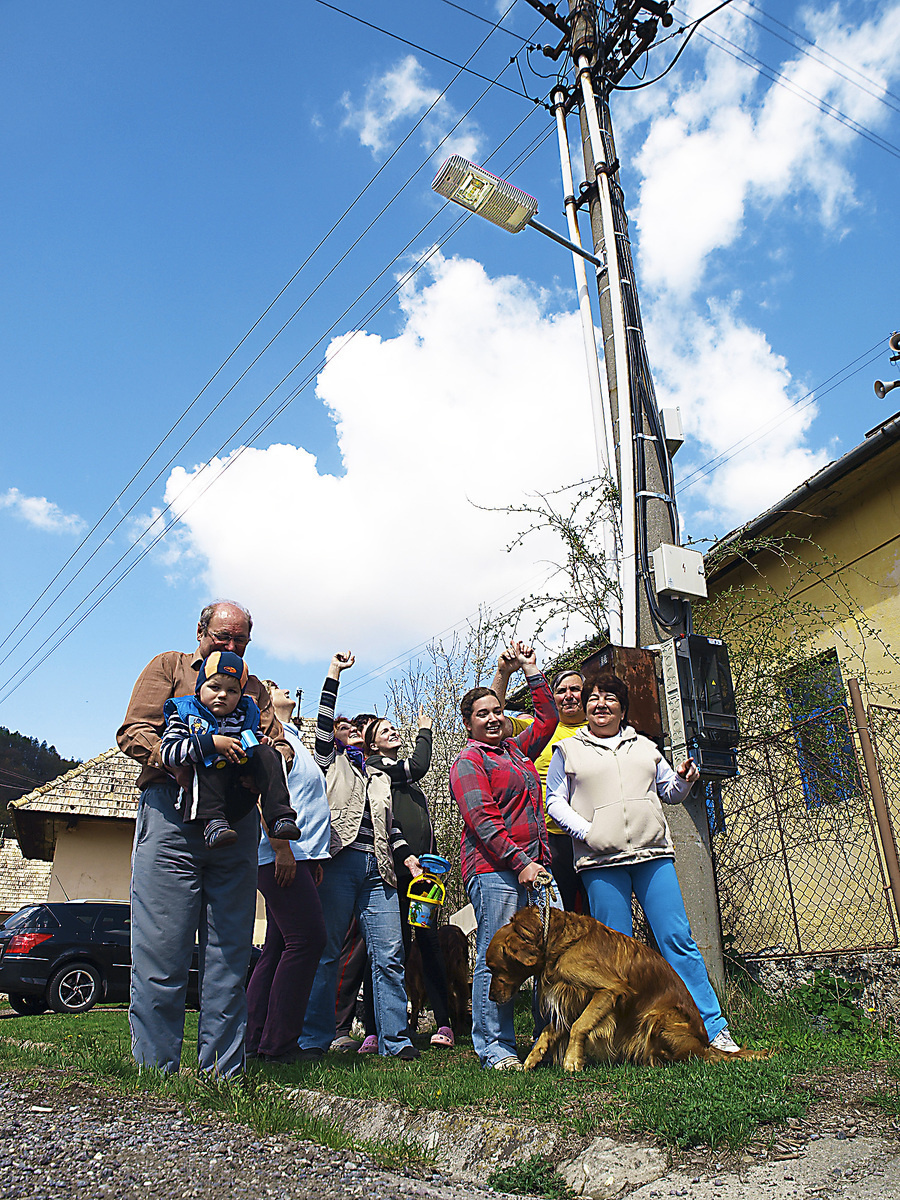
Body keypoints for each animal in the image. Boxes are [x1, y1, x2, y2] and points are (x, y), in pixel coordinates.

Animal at [489, 902, 763, 1075]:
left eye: (493, 968)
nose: (490, 998)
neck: (555, 942)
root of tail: (705, 1045)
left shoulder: (609, 990)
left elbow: (579, 1026)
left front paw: (572, 1060)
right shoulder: (573, 999)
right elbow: (550, 1029)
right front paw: (533, 1058)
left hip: (658, 1017)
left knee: (687, 1058)